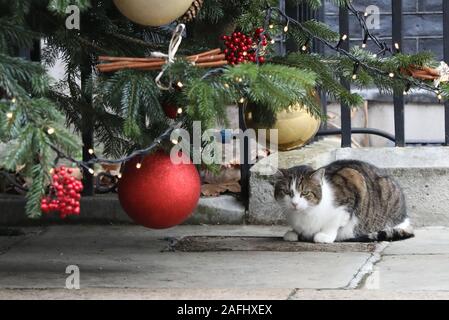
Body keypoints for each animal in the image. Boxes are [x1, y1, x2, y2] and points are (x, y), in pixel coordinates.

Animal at [272, 160, 412, 242]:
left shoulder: (353, 181)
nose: (294, 203)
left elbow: (335, 221)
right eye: (287, 192)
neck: (305, 214)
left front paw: (325, 235)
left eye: (305, 193)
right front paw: (294, 233)